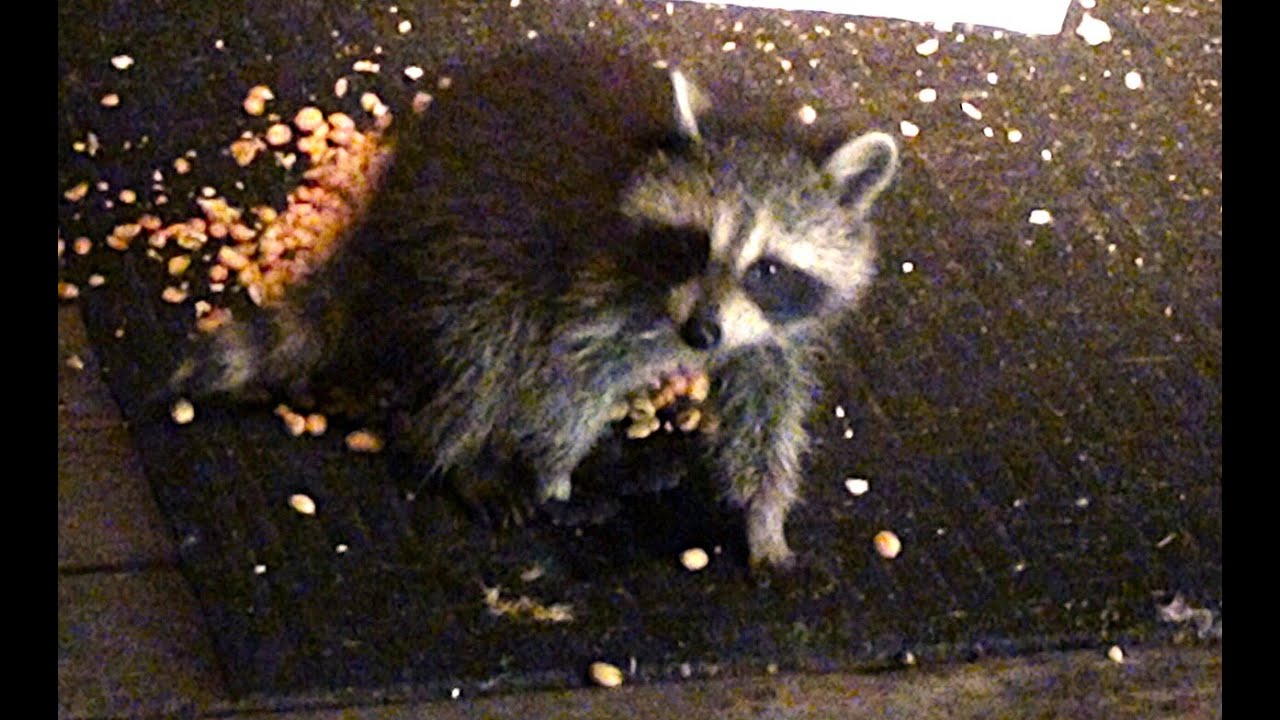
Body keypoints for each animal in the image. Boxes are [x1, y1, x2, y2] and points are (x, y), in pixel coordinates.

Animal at [173, 62, 899, 571]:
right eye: (692, 244)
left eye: (767, 269)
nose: (699, 334)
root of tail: (386, 203)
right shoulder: (598, 279)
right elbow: (566, 373)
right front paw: (553, 470)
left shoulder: (774, 329)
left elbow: (769, 406)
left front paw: (766, 517)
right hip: (463, 245)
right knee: (489, 343)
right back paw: (456, 449)